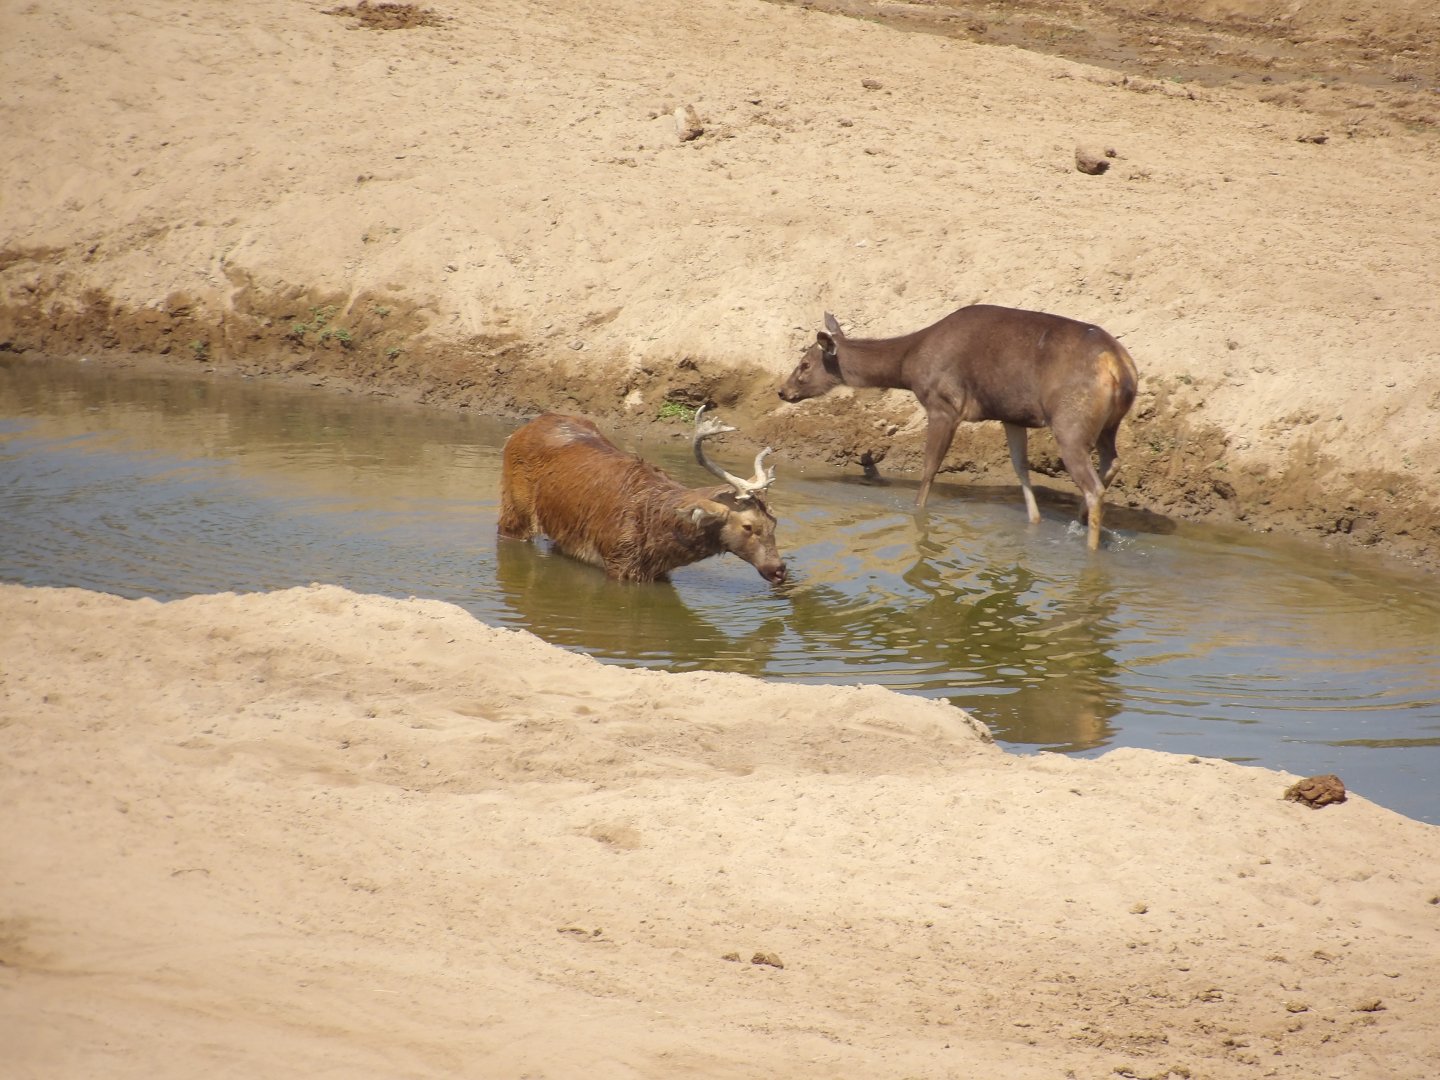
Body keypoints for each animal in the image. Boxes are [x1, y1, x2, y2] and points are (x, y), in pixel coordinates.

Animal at [498, 407, 786, 583]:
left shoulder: (657, 573)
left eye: (774, 523)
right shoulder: (618, 562)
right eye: (748, 526)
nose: (779, 570)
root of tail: (519, 431)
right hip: (515, 509)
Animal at [778, 304, 1139, 550]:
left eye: (804, 364)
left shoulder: (943, 406)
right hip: (1107, 424)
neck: (908, 366)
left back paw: (1089, 546)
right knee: (1113, 461)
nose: (783, 390)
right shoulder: (1010, 415)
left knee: (1094, 487)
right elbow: (1020, 468)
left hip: (1069, 422)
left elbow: (928, 469)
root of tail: (1120, 367)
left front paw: (917, 516)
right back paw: (1079, 521)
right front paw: (1034, 521)